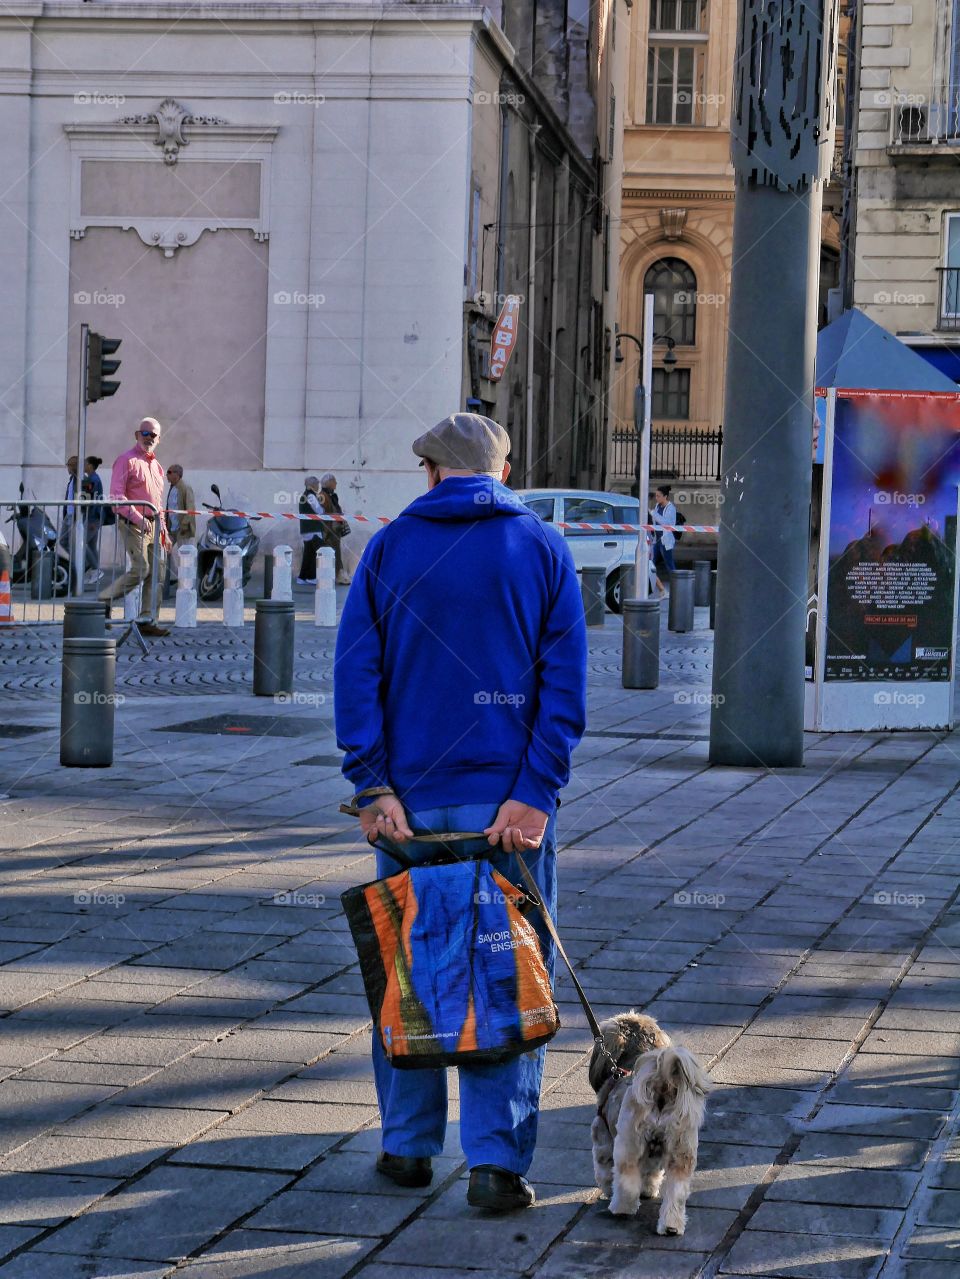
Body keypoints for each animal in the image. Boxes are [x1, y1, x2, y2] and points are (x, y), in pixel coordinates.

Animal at [585, 1012, 715, 1232]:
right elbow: (651, 1174)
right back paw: (671, 1226)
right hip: (681, 1150)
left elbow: (605, 1170)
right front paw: (648, 1189)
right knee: (676, 1191)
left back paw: (621, 1208)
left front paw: (609, 1189)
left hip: (628, 1142)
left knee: (626, 1179)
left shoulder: (602, 1139)